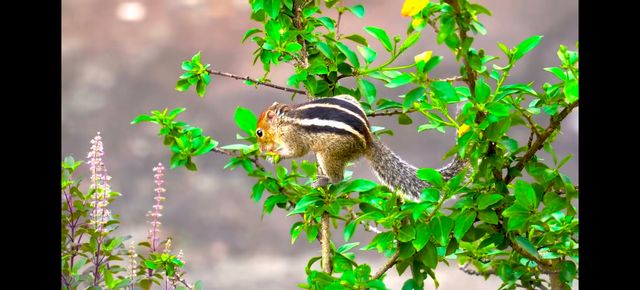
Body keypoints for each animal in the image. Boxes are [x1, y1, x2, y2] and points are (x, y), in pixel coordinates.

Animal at [252, 95, 428, 199]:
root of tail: (367, 137)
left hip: (330, 154)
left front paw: (275, 155)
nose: (261, 150)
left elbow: (296, 152)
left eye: (259, 133)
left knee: (338, 179)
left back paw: (324, 181)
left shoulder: (292, 136)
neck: (285, 118)